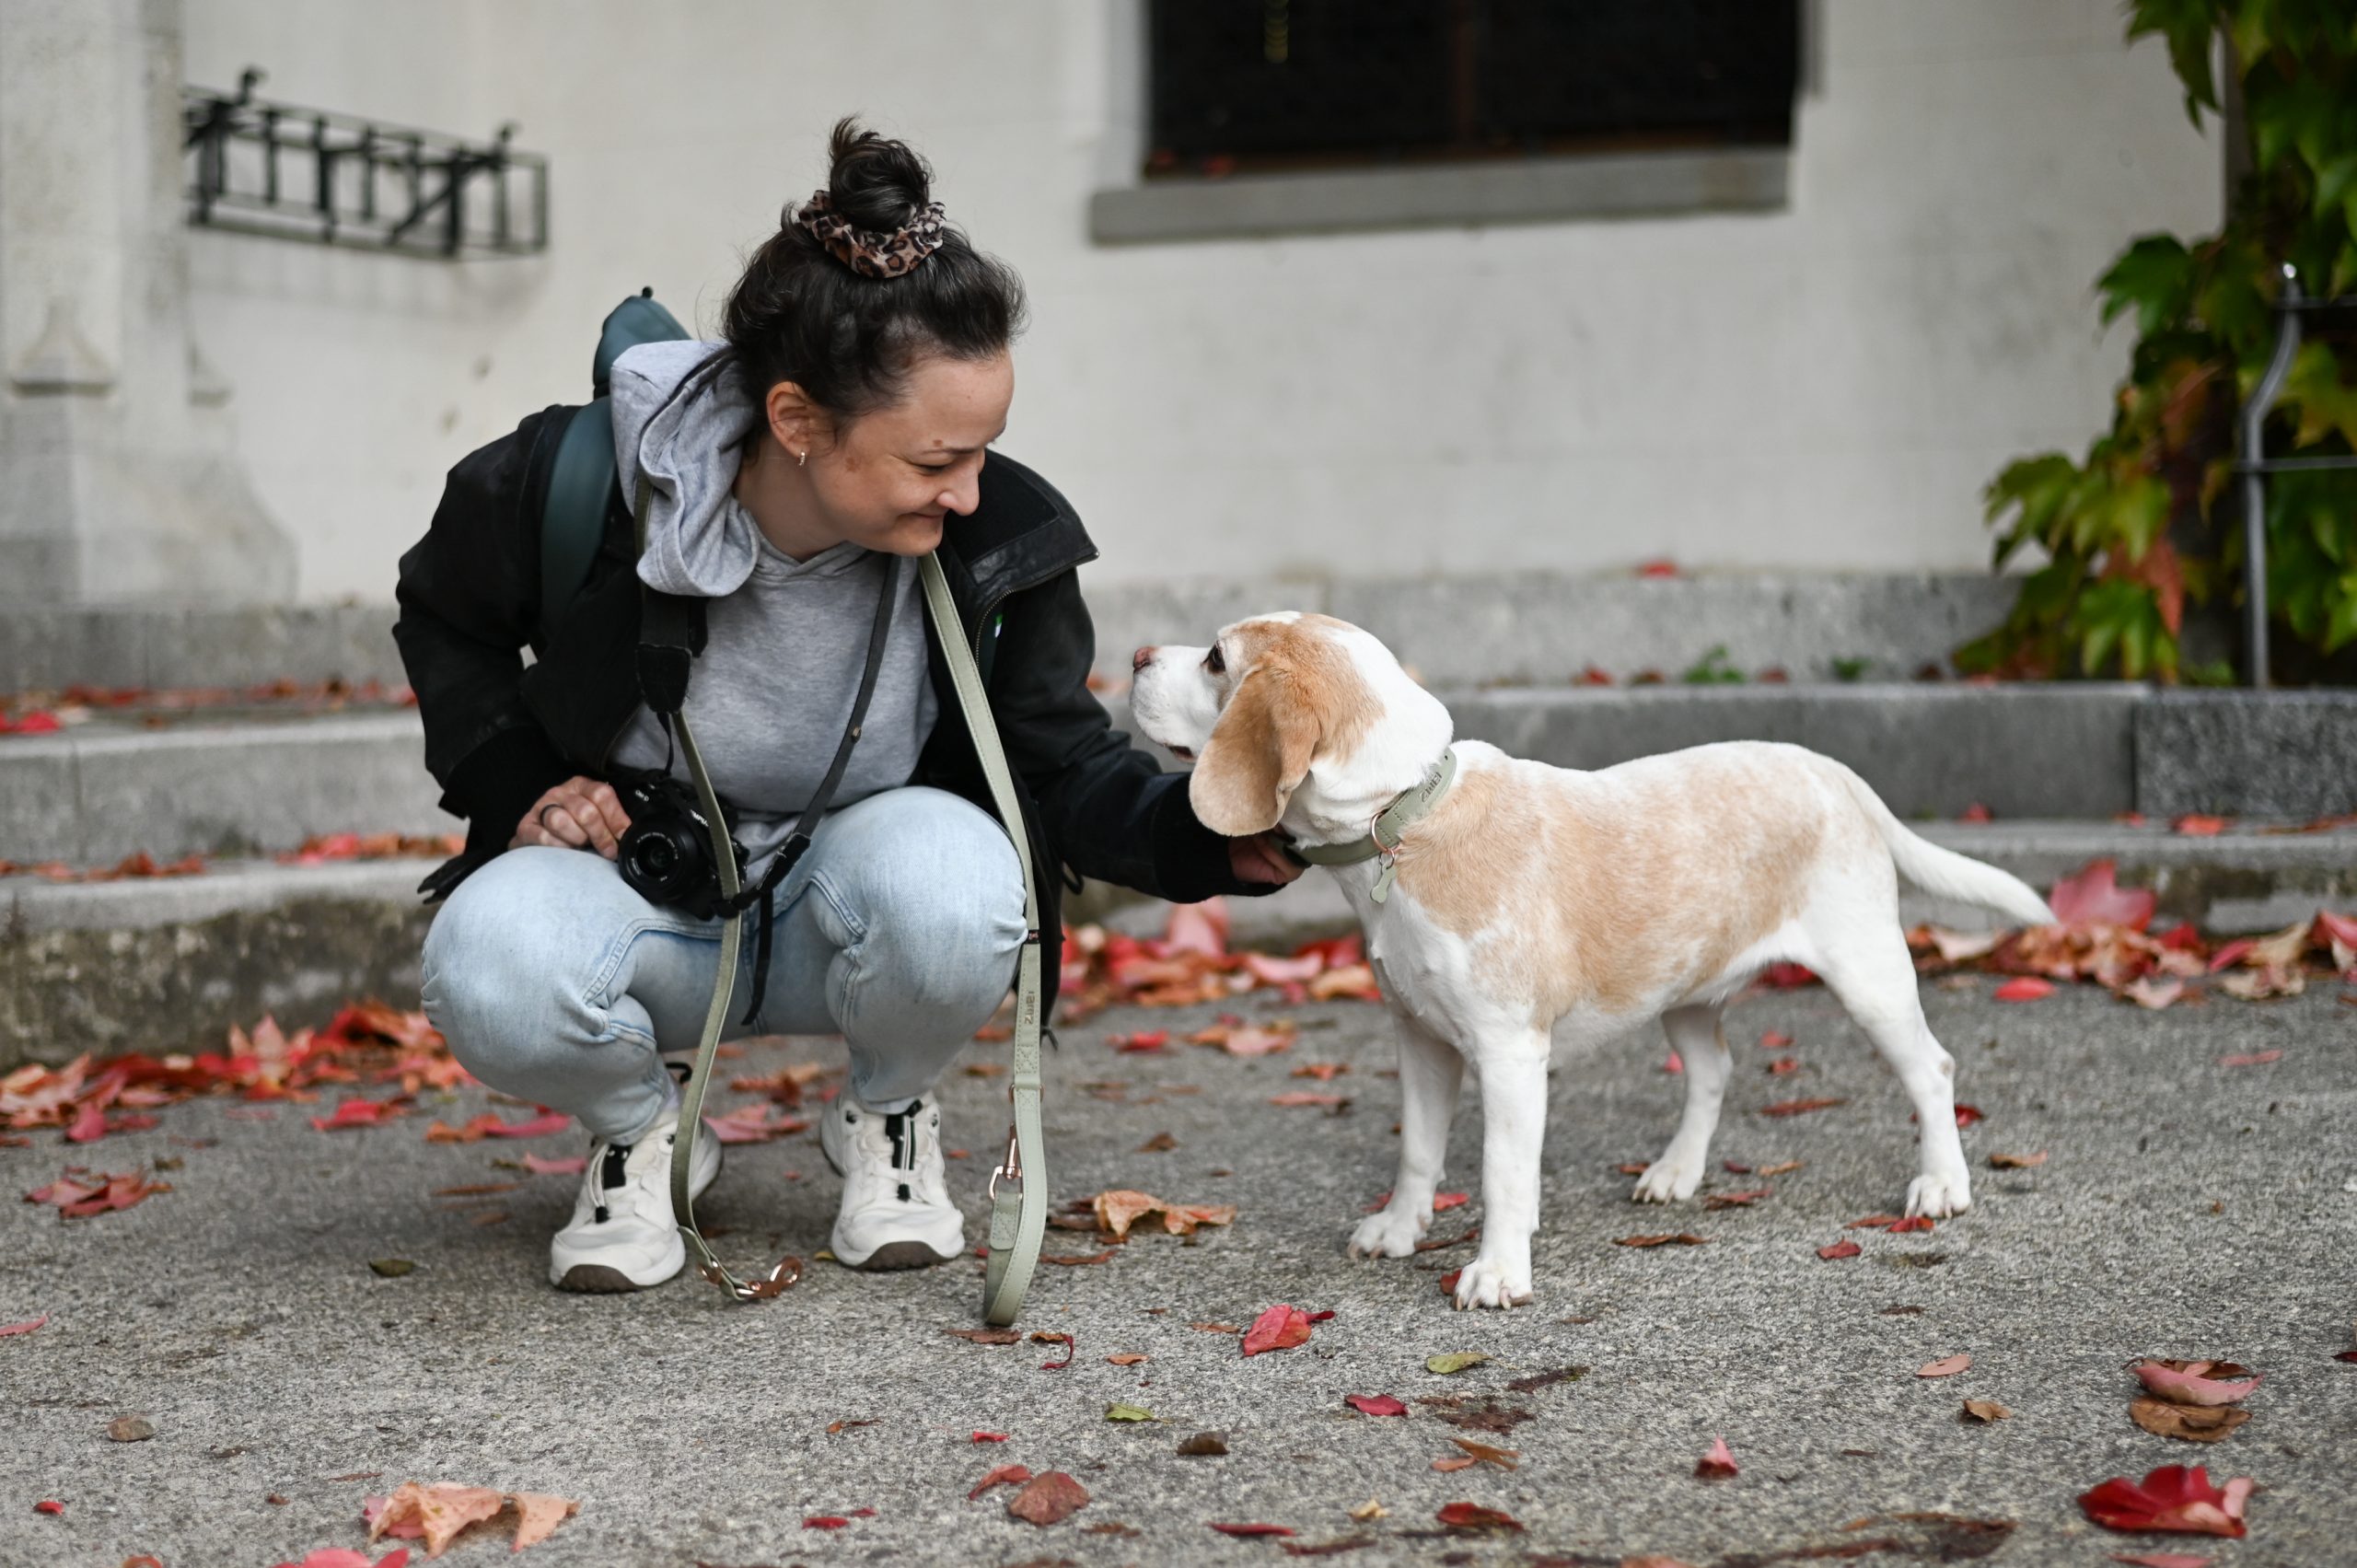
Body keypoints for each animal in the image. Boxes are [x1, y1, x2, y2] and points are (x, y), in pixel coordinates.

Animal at [1131, 612, 2055, 1310]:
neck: (1405, 816)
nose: (1134, 655)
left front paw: (1498, 1272)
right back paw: (1677, 1172)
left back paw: (1941, 1184)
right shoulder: (1419, 1039)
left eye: (1215, 659)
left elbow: (1503, 1174)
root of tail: (1837, 772)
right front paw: (1400, 1229)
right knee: (1714, 1072)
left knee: (1932, 1069)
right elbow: (1419, 1151)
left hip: (1870, 979)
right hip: (1685, 993)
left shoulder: (1509, 1053)